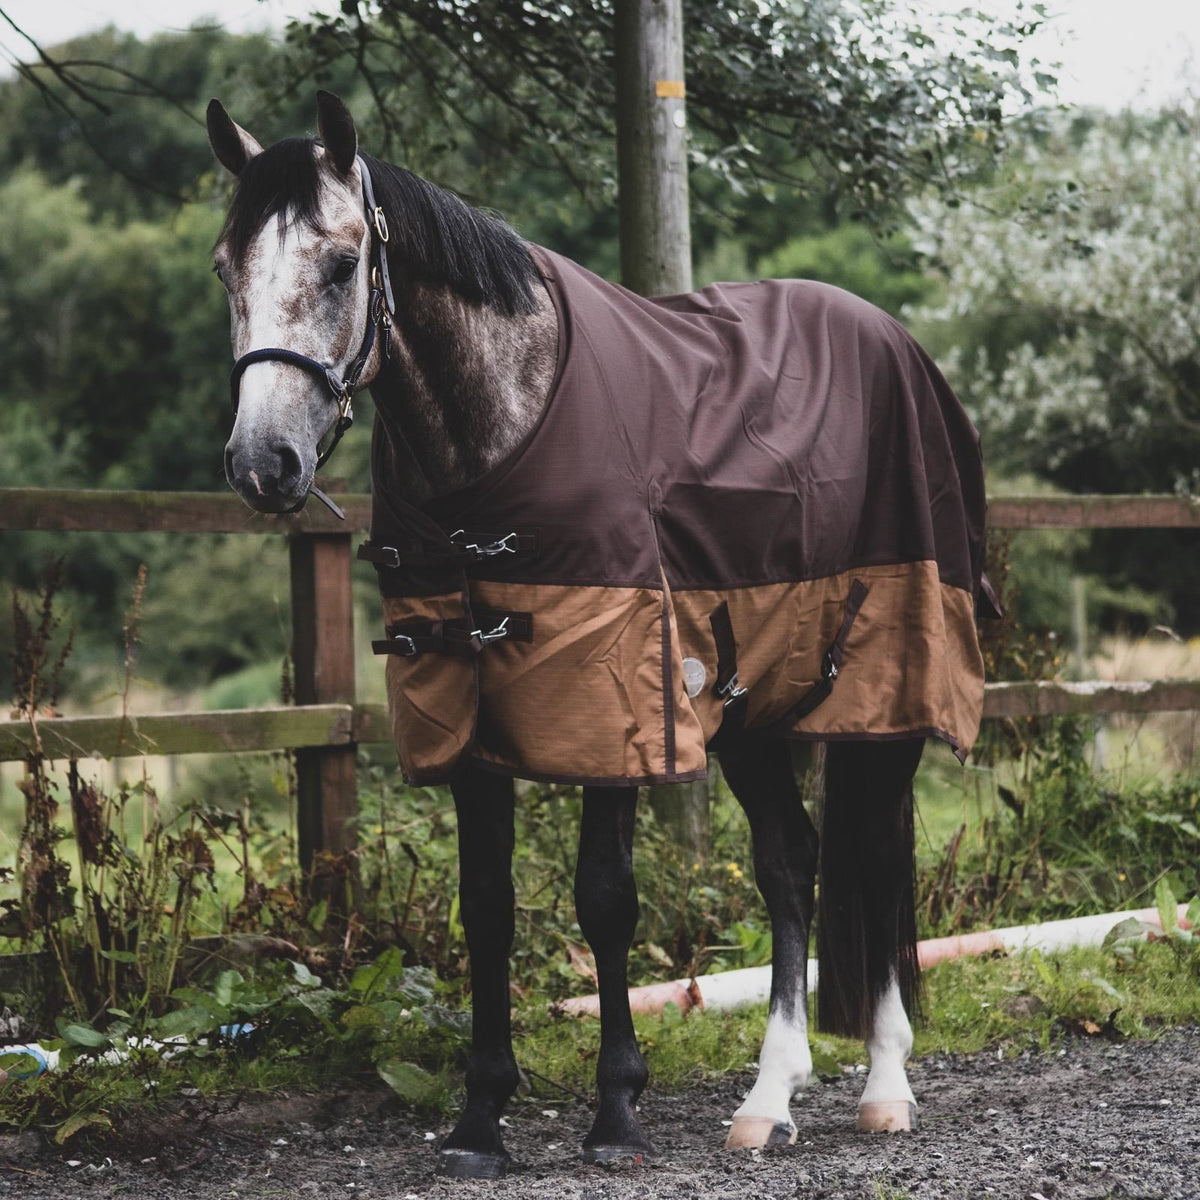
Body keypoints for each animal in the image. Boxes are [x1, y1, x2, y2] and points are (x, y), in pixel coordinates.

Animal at [207, 91, 991, 1178]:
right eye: (224, 267)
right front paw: (480, 1120)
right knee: (792, 862)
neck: (498, 439)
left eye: (340, 263)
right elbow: (487, 908)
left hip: (884, 690)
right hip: (751, 704)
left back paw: (883, 1084)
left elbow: (606, 897)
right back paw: (770, 1095)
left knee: (872, 853)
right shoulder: (465, 709)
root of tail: (899, 344)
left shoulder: (616, 695)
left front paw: (617, 1110)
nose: (263, 464)